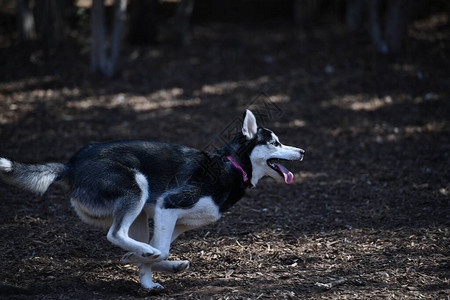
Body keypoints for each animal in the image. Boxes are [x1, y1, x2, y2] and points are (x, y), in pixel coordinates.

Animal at [0, 110, 304, 290]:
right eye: (275, 143)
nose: (301, 151)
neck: (232, 165)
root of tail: (72, 164)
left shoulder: (171, 220)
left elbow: (160, 250)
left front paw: (146, 268)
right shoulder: (168, 206)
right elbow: (161, 250)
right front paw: (148, 258)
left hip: (139, 212)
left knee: (127, 236)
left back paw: (145, 271)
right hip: (137, 187)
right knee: (115, 234)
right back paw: (142, 253)